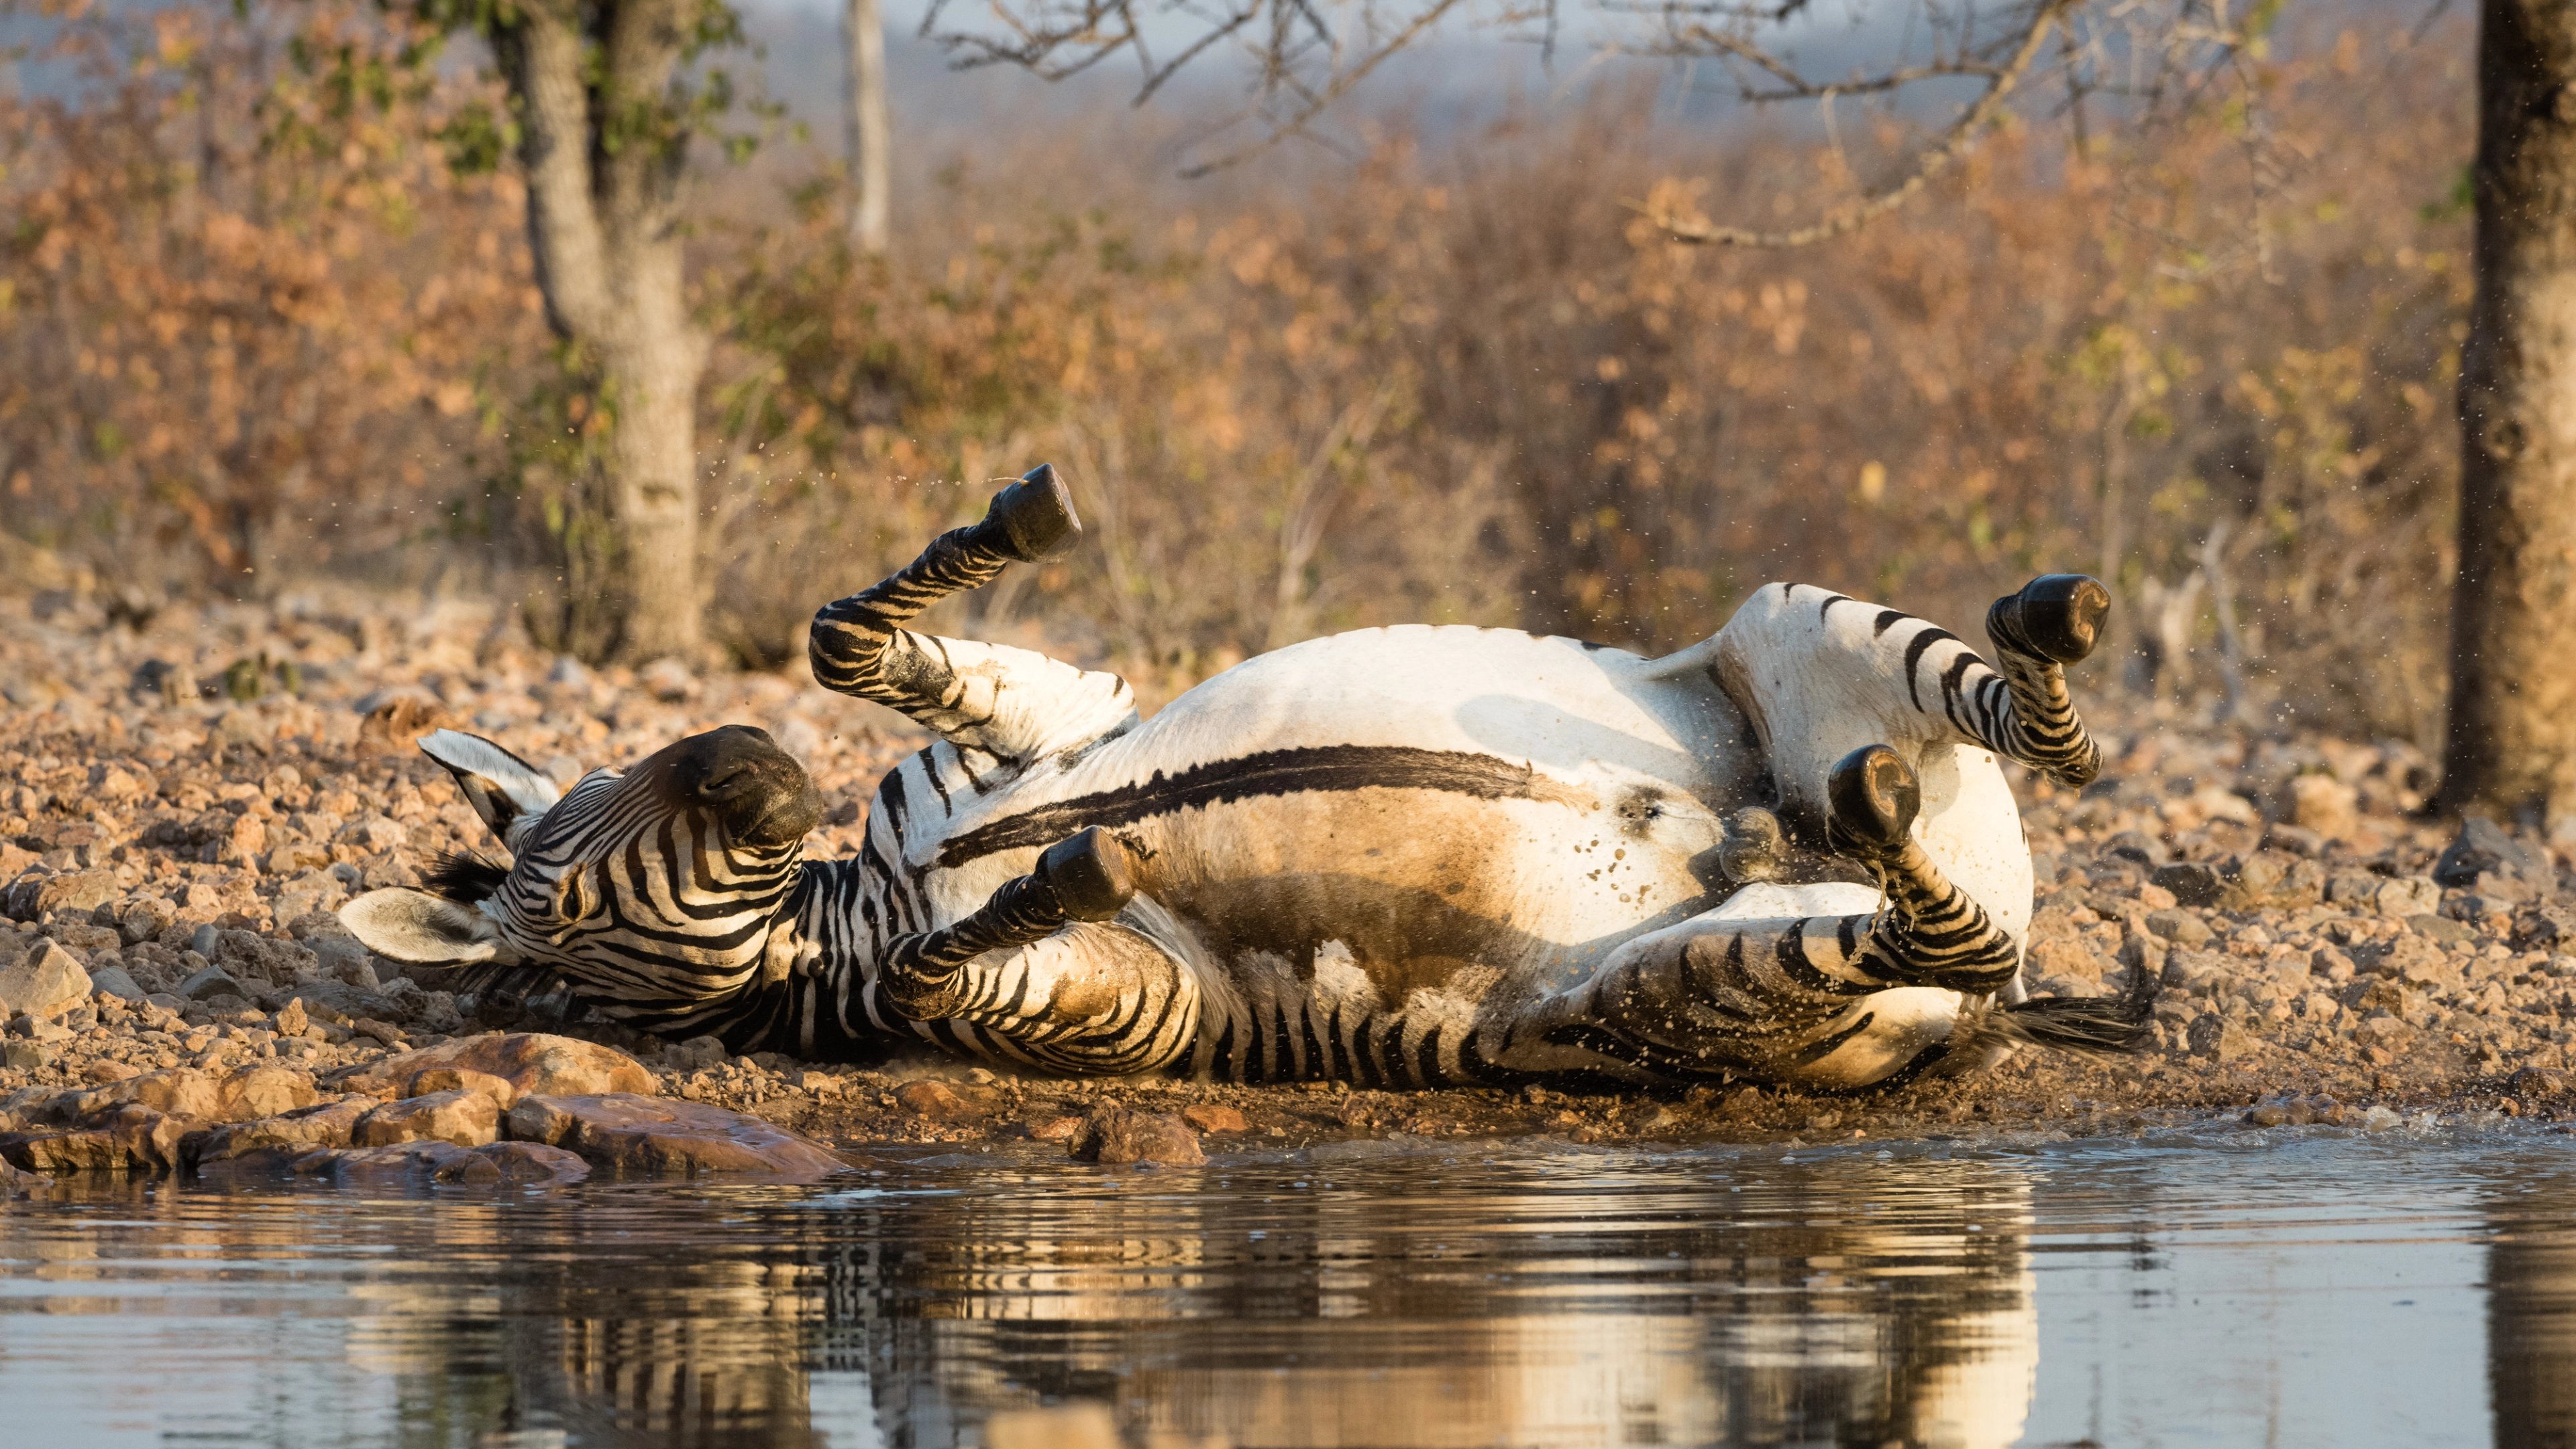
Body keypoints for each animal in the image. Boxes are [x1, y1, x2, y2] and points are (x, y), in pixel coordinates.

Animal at [341, 464, 2145, 1091]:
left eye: (617, 769)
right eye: (565, 901)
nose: (735, 761)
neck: (869, 893)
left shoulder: (1043, 724)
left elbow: (847, 635)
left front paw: (1019, 519)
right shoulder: (1116, 1005)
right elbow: (948, 966)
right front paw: (1062, 870)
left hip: (1786, 628)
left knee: (2041, 734)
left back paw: (2044, 633)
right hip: (1676, 993)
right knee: (1941, 920)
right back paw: (1876, 816)